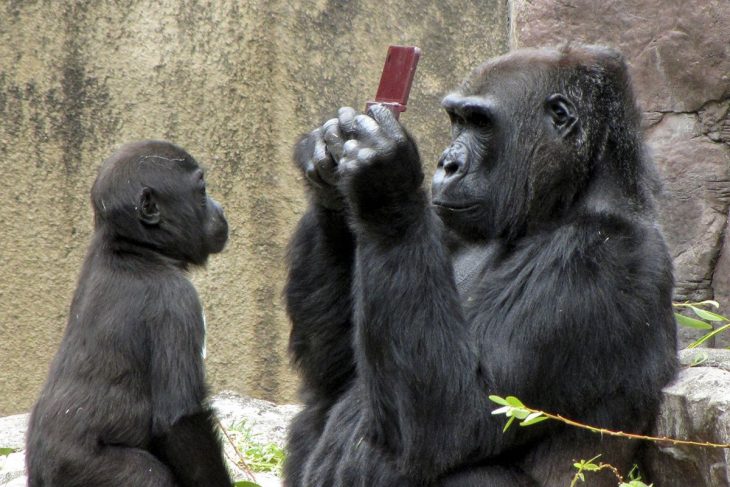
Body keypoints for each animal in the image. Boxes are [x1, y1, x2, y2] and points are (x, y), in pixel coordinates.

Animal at [27, 139, 230, 486]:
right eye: (202, 192)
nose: (219, 209)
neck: (136, 248)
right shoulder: (177, 302)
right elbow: (180, 421)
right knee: (150, 476)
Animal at [284, 43, 676, 486]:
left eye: (481, 123)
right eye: (458, 121)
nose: (447, 163)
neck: (568, 198)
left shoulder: (597, 257)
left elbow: (454, 417)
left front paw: (381, 176)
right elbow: (336, 374)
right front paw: (328, 169)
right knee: (318, 406)